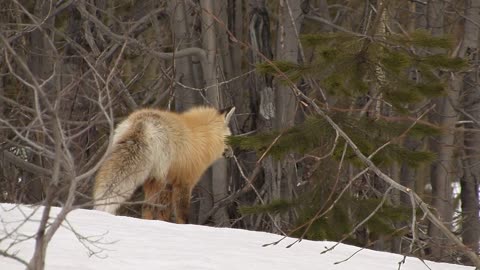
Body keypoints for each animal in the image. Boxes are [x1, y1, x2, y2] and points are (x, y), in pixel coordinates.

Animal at [92, 106, 234, 224]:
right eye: (230, 138)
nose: (232, 154)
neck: (202, 138)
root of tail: (143, 122)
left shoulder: (169, 184)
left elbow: (164, 212)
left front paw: (164, 224)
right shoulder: (184, 182)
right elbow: (182, 215)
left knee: (146, 207)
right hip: (157, 179)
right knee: (149, 206)